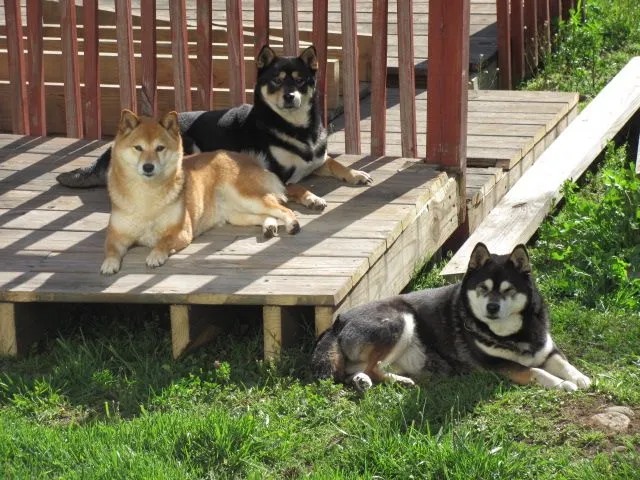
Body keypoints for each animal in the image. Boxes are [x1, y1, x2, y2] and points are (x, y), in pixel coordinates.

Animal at [310, 242, 592, 392]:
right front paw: (561, 384)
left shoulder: (548, 349)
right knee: (374, 367)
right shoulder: (497, 364)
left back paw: (362, 380)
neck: (514, 333)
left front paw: (580, 377)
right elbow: (534, 370)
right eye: (483, 288)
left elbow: (564, 363)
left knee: (355, 370)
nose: (492, 308)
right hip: (401, 320)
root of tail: (339, 320)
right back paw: (401, 380)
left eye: (507, 289)